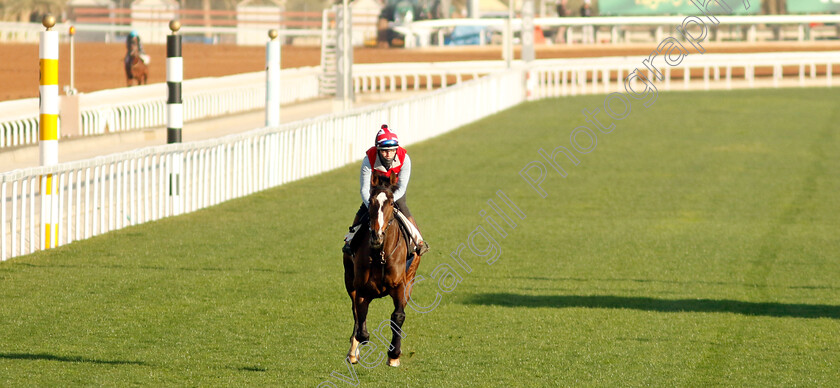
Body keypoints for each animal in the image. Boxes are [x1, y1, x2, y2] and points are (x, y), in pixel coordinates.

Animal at [342, 171, 424, 366]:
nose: (377, 236)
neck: (381, 254)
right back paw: (352, 353)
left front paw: (394, 355)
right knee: (355, 312)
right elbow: (361, 320)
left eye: (392, 202)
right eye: (371, 201)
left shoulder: (401, 285)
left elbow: (398, 316)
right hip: (348, 278)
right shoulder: (361, 288)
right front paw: (359, 344)